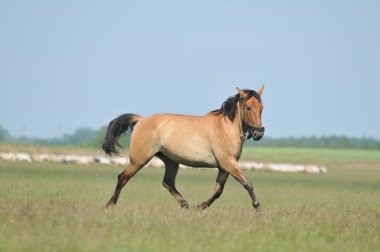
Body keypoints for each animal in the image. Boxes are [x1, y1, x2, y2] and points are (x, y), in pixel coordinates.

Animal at [102, 86, 266, 211]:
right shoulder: (228, 164)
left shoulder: (224, 167)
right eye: (248, 107)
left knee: (168, 183)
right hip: (139, 160)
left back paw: (185, 205)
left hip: (171, 161)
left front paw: (201, 206)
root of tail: (141, 120)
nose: (259, 133)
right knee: (122, 178)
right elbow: (247, 184)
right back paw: (110, 204)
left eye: (261, 108)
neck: (225, 128)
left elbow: (218, 191)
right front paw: (257, 207)